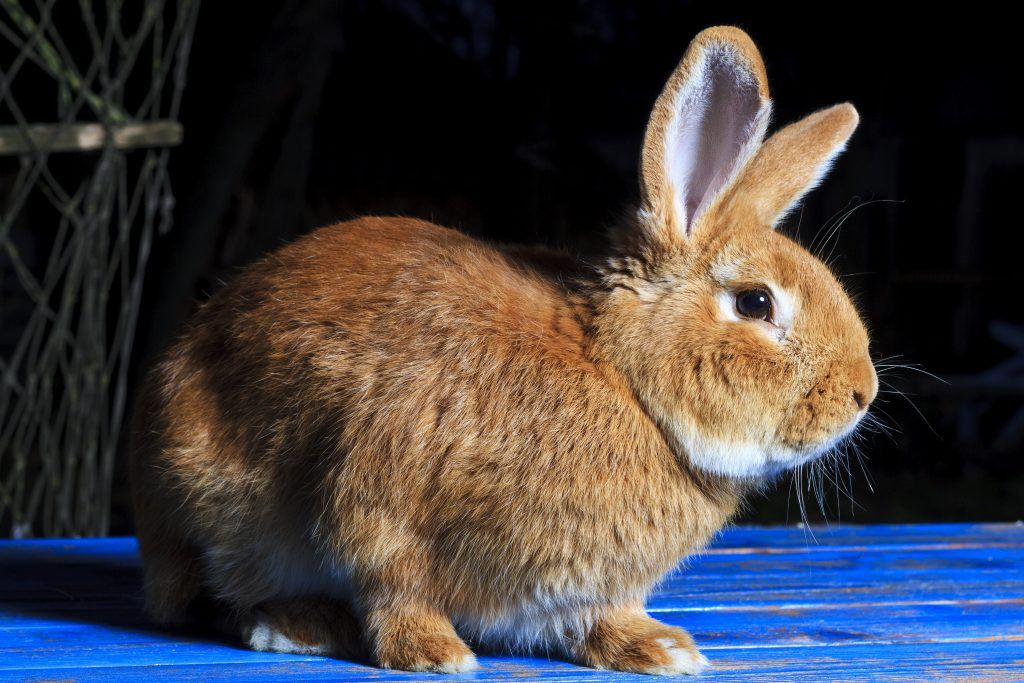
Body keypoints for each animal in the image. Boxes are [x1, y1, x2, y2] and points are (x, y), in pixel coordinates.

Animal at [128, 24, 876, 675]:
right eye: (756, 304)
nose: (861, 394)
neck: (620, 377)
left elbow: (600, 618)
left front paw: (659, 650)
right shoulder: (377, 501)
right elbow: (394, 588)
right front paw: (435, 654)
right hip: (214, 504)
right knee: (213, 596)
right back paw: (295, 624)